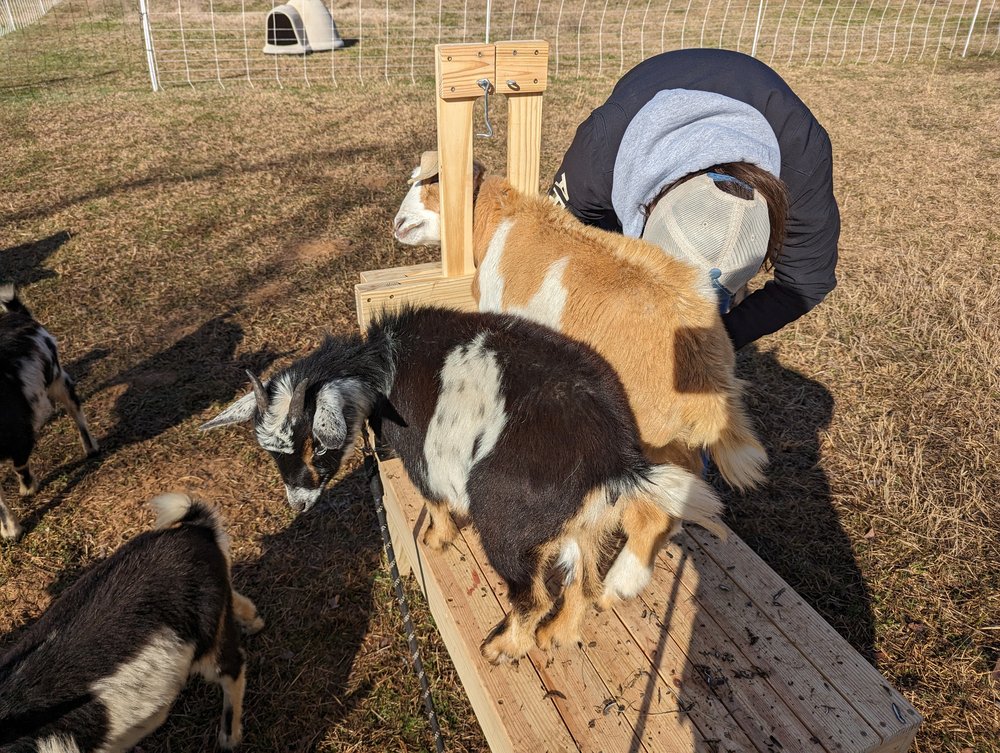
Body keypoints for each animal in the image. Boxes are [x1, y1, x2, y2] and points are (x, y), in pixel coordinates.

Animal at [0, 284, 99, 542]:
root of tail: (18, 315)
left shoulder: (20, 435)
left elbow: (20, 465)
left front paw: (28, 489)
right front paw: (11, 530)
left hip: (58, 380)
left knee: (75, 410)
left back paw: (91, 448)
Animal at [202, 305, 723, 663]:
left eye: (313, 444)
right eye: (271, 453)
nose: (298, 504)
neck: (382, 366)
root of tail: (613, 457)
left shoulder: (421, 458)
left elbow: (432, 499)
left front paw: (437, 539)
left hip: (505, 525)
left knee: (534, 596)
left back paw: (506, 648)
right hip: (582, 520)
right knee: (583, 580)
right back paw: (558, 636)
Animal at [393, 154, 766, 602]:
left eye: (431, 183)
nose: (398, 224)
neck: (499, 217)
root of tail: (709, 370)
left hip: (648, 434)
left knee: (651, 511)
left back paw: (617, 586)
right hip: (675, 440)